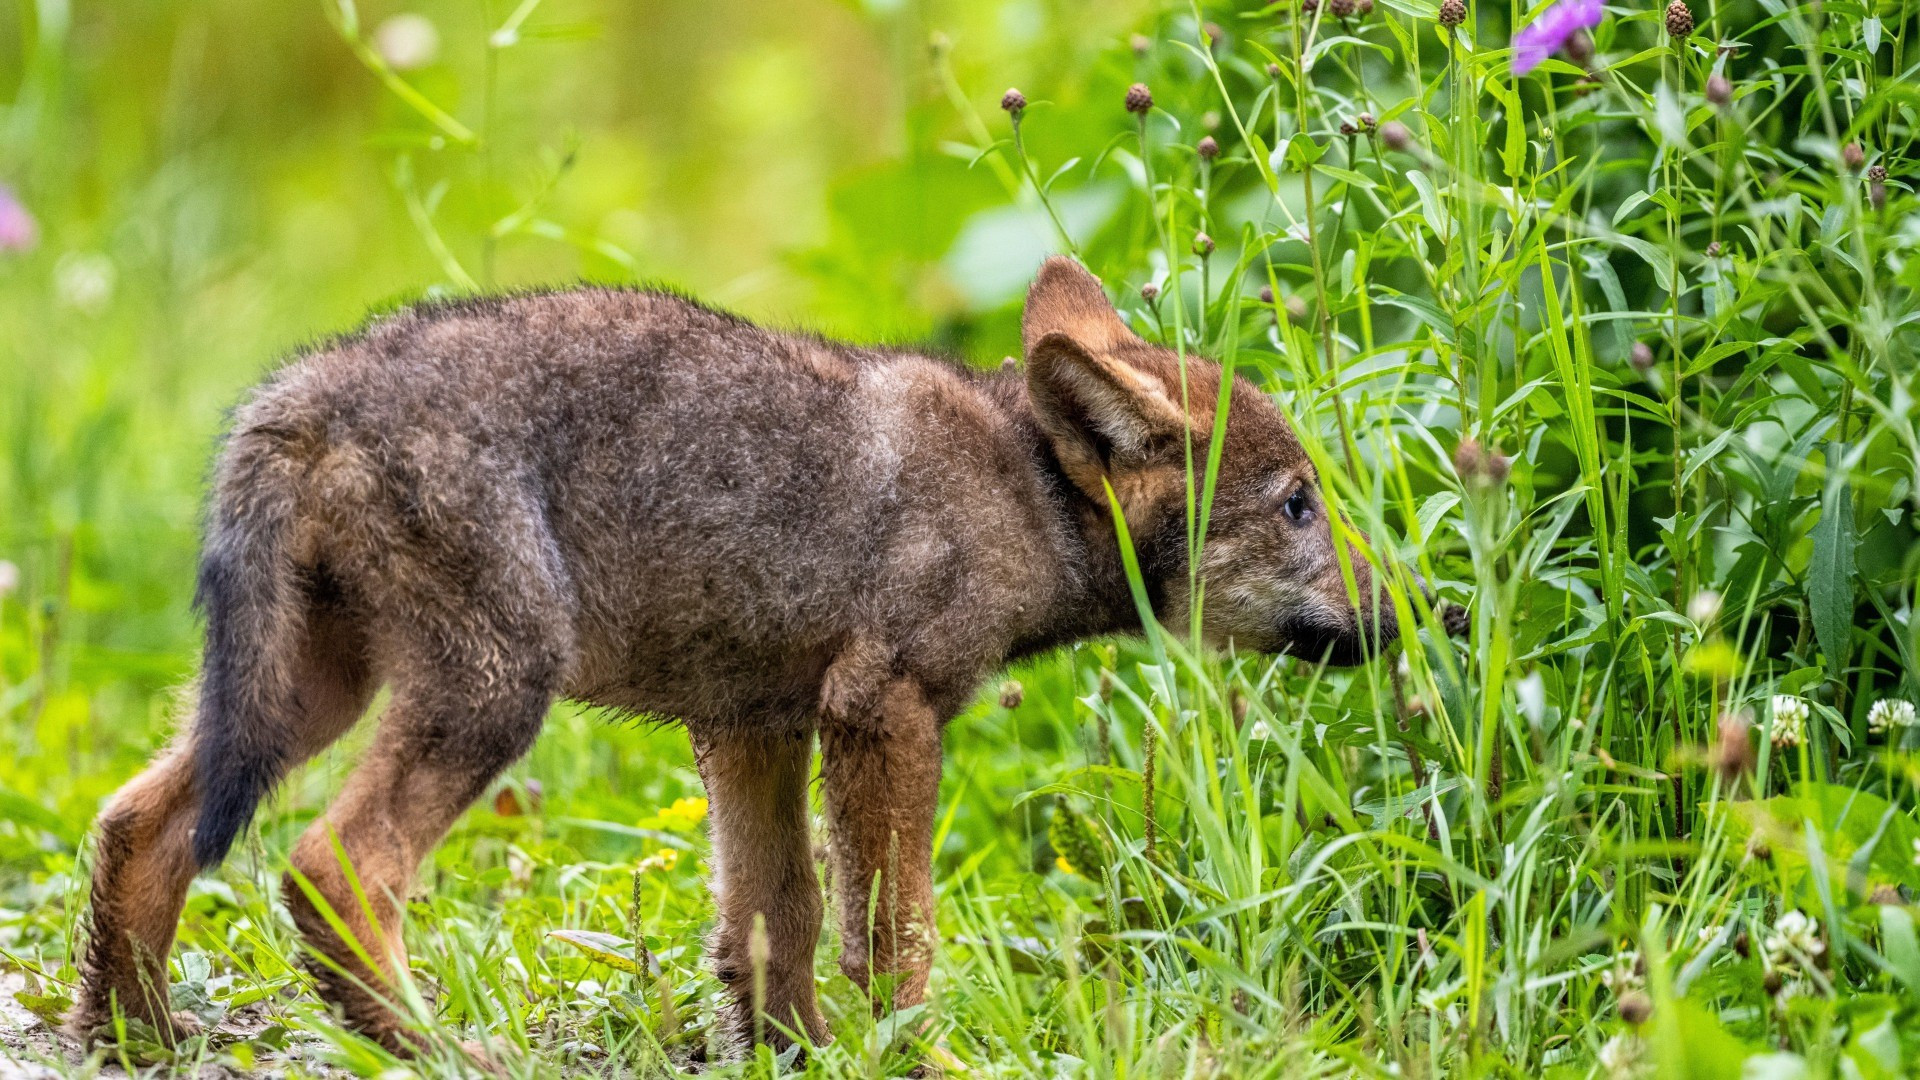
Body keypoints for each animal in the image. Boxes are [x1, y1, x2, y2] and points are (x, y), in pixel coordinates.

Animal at [71, 256, 1427, 1054]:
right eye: (1298, 505)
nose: (1423, 616)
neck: (1024, 488)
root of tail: (303, 392)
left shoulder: (754, 724)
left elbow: (775, 923)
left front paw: (806, 1058)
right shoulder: (884, 710)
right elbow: (892, 934)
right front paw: (909, 1056)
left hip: (310, 693)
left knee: (137, 823)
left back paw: (136, 1042)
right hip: (485, 695)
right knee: (334, 869)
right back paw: (444, 1053)